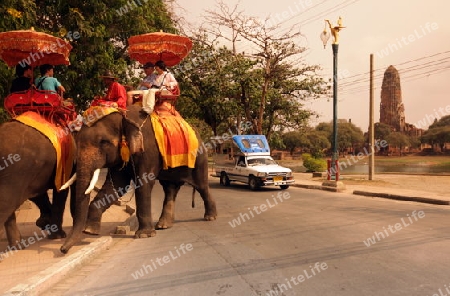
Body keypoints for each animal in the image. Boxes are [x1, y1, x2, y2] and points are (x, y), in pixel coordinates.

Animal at [0, 118, 74, 247]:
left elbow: (37, 195)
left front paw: (44, 222)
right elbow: (60, 190)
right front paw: (56, 234)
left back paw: (17, 246)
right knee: (6, 203)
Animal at [60, 103, 217, 252]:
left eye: (103, 142)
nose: (63, 250)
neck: (124, 116)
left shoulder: (147, 150)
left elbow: (143, 184)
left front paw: (144, 235)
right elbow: (117, 186)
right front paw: (90, 231)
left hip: (200, 159)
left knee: (201, 186)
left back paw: (210, 217)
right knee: (170, 188)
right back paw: (163, 225)